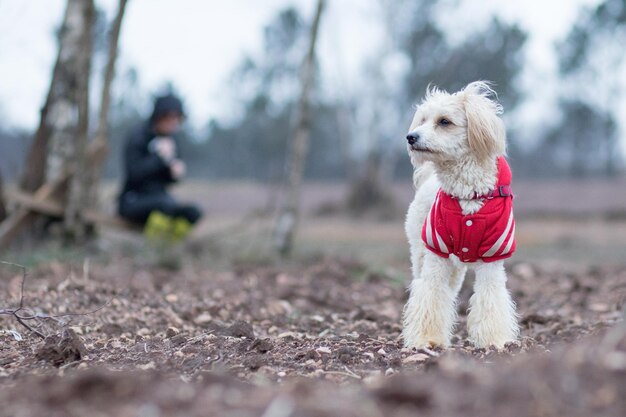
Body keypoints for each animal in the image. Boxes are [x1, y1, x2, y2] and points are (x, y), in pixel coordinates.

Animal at [402, 81, 520, 348]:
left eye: (444, 121)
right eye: (423, 119)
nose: (411, 137)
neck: (468, 194)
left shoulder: (493, 256)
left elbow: (491, 299)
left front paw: (494, 341)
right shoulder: (437, 252)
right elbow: (431, 295)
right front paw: (427, 339)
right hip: (422, 252)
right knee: (422, 285)